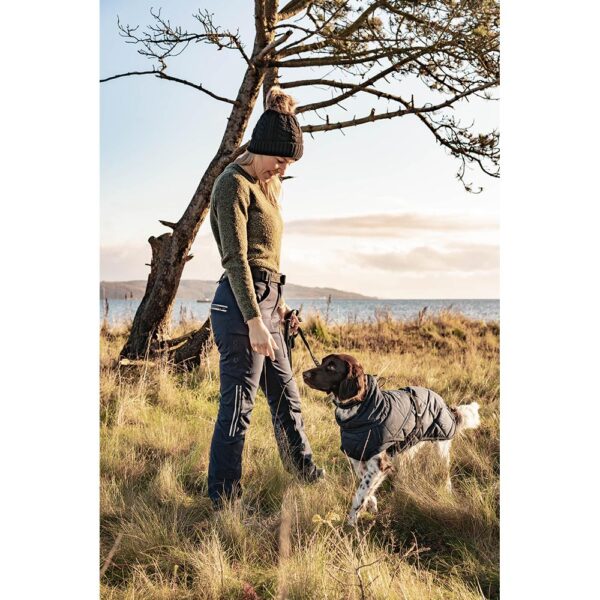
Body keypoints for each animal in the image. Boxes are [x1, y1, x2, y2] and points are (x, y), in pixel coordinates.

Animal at [302, 352, 480, 524]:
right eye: (322, 362)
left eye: (331, 367)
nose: (304, 374)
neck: (360, 409)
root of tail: (443, 402)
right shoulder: (359, 459)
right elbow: (365, 485)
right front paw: (372, 504)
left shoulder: (379, 463)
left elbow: (359, 494)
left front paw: (351, 523)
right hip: (407, 446)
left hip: (440, 448)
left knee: (445, 474)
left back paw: (446, 490)